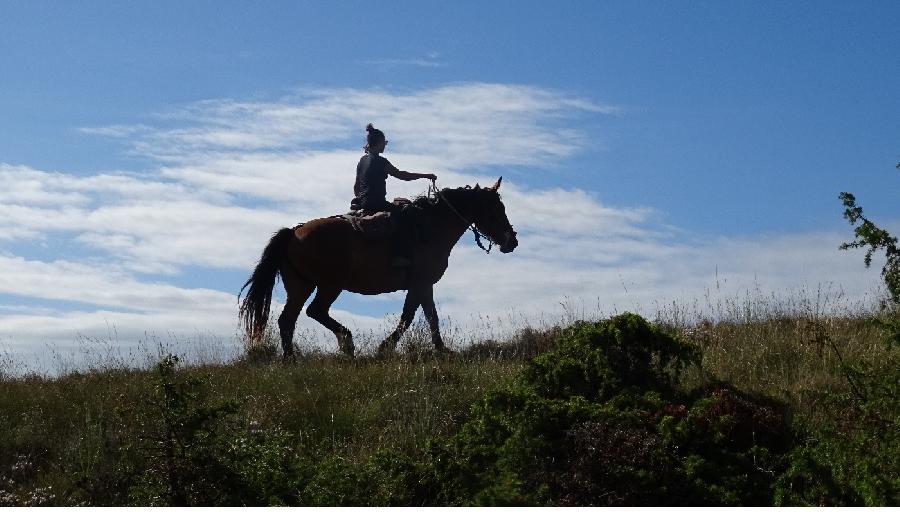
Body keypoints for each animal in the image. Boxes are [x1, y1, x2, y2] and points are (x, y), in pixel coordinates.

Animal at [239, 178, 520, 358]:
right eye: (496, 209)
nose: (512, 241)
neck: (431, 228)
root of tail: (293, 232)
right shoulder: (420, 283)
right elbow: (411, 317)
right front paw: (386, 347)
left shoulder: (422, 285)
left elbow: (428, 316)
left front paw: (441, 349)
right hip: (330, 285)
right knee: (315, 311)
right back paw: (346, 342)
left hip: (301, 286)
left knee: (288, 320)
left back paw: (291, 360)